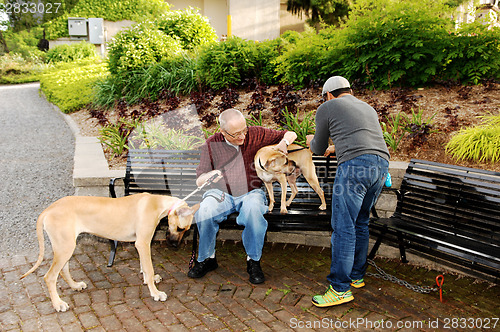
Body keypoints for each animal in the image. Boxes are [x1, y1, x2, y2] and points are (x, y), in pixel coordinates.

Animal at [20, 193, 199, 312]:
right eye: (180, 228)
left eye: (186, 230)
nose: (174, 245)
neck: (156, 202)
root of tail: (49, 209)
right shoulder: (142, 243)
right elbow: (149, 267)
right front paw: (155, 292)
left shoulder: (140, 244)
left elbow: (144, 266)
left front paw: (149, 279)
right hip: (65, 247)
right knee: (50, 277)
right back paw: (58, 304)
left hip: (66, 246)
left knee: (63, 270)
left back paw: (75, 286)